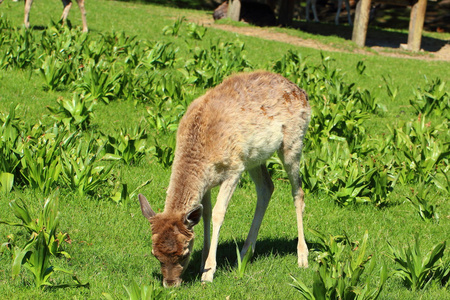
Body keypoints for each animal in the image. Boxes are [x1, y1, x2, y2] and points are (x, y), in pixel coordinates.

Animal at [139, 71, 312, 288]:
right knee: (267, 187)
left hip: (293, 142)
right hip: (254, 158)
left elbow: (218, 213)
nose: (170, 284)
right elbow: (204, 213)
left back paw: (302, 256)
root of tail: (302, 93)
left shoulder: (234, 169)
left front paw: (208, 272)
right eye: (155, 254)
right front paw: (203, 262)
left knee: (298, 192)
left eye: (184, 253)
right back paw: (246, 252)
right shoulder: (207, 181)